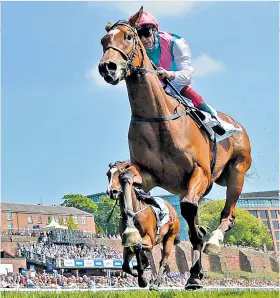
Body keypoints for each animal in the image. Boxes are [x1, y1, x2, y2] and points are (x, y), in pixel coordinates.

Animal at [106, 159, 180, 290]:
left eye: (120, 174)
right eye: (108, 174)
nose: (112, 191)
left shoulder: (150, 239)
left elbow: (138, 248)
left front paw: (142, 279)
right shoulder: (127, 241)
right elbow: (126, 265)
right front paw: (139, 272)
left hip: (170, 238)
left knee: (163, 261)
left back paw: (155, 283)